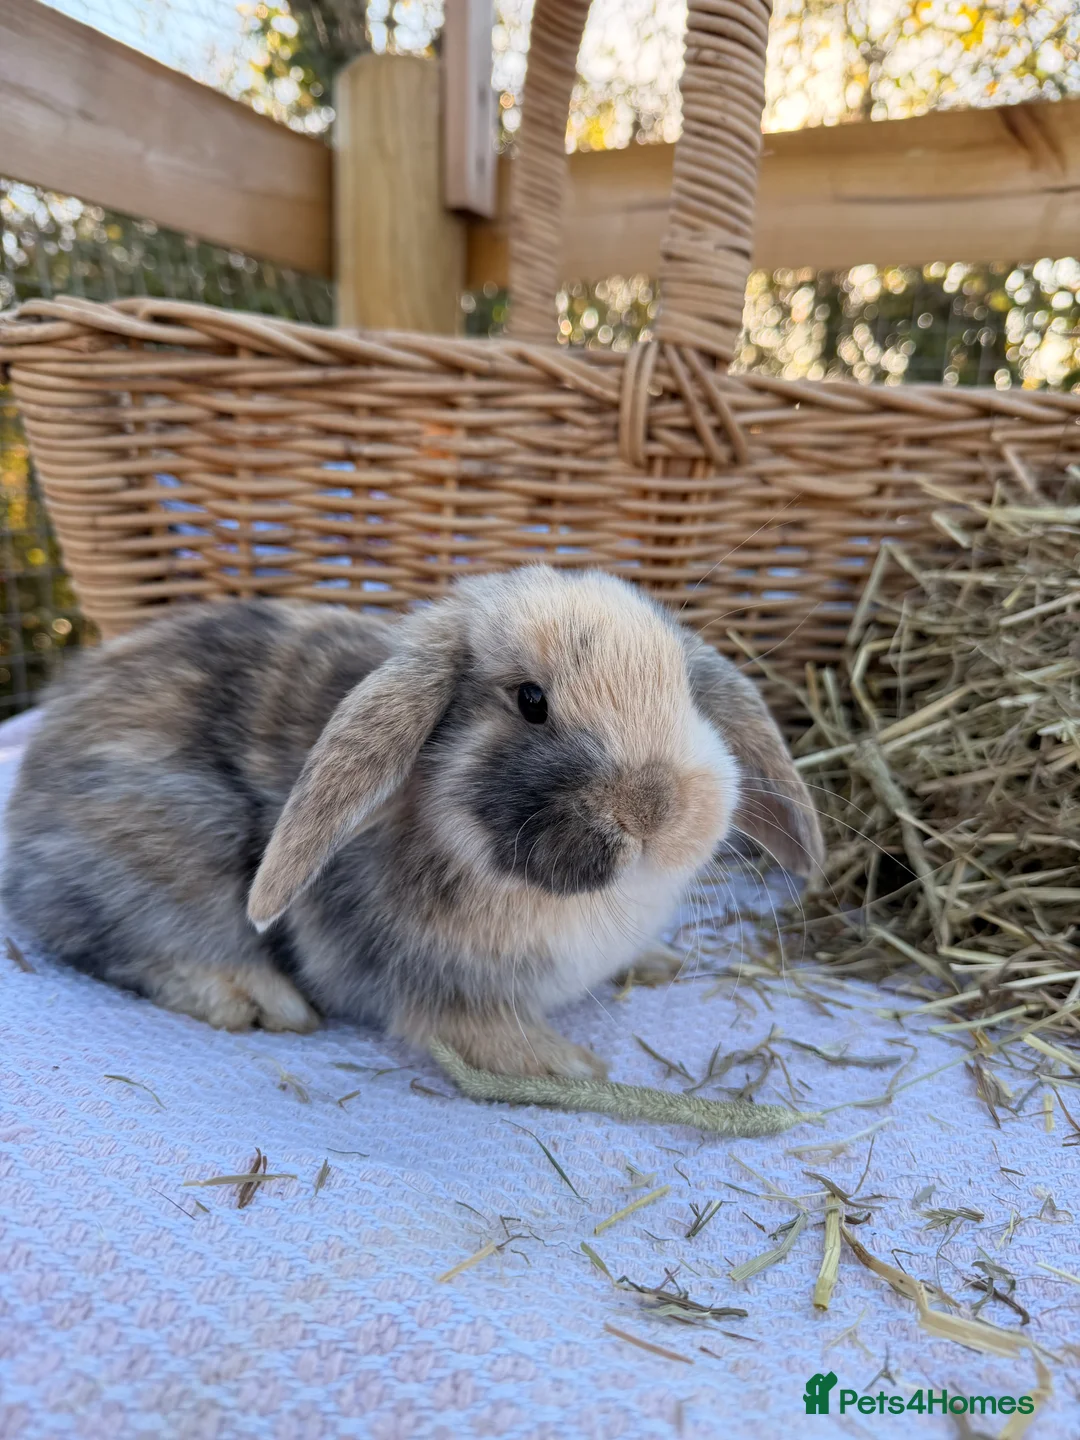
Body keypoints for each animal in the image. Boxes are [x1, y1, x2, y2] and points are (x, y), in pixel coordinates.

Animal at [2, 566, 823, 1078]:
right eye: (530, 700)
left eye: (684, 689)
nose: (656, 810)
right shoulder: (436, 984)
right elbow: (463, 1028)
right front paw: (565, 1064)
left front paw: (654, 964)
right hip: (167, 845)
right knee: (116, 943)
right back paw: (257, 1000)